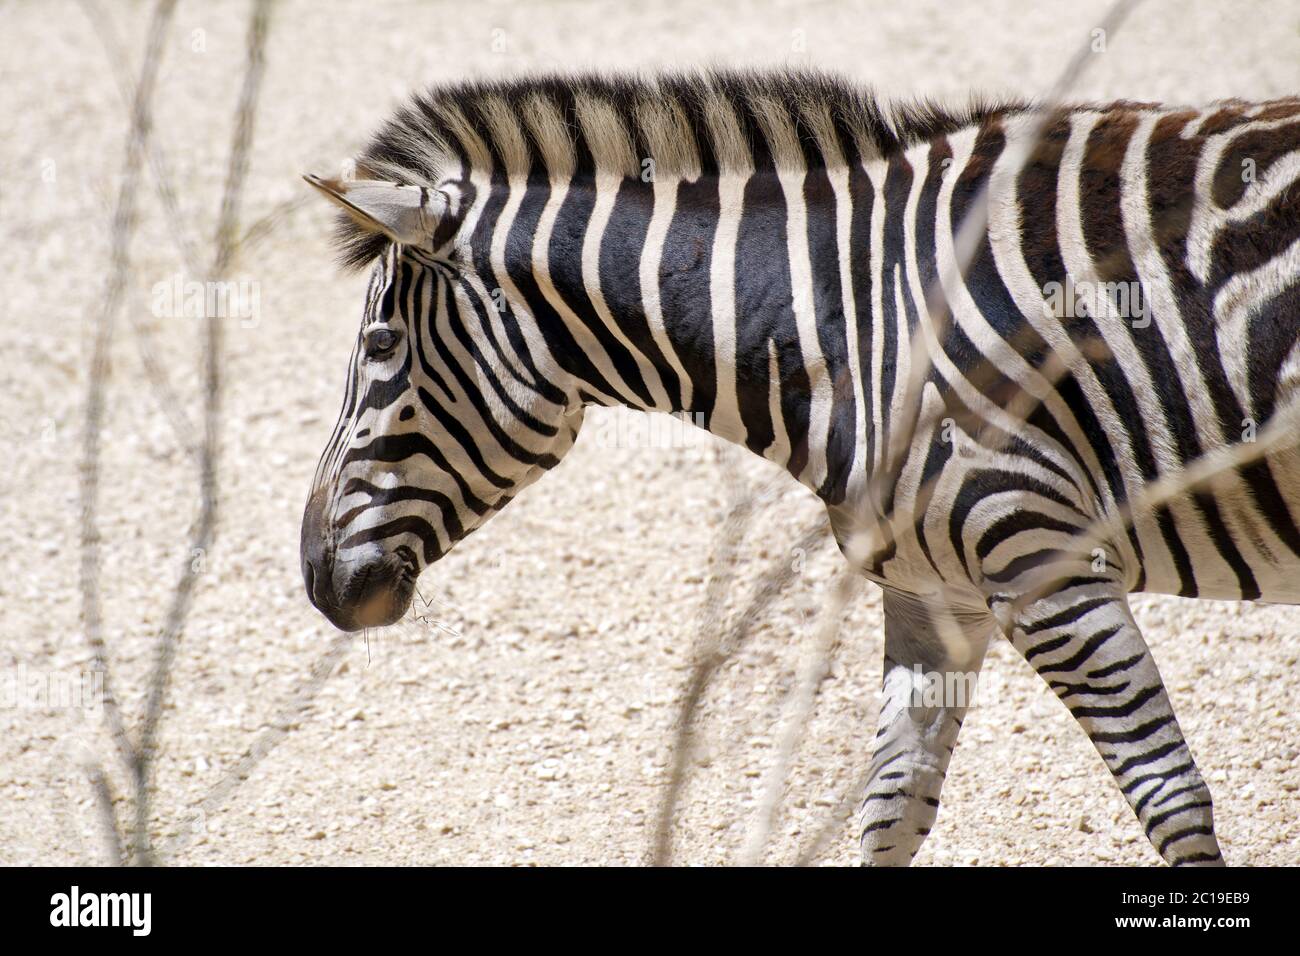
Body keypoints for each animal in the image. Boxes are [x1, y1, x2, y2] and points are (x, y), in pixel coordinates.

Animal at [299, 70, 1300, 865]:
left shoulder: (1043, 556)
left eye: (381, 345)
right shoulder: (937, 591)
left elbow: (1169, 797)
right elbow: (891, 808)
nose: (315, 578)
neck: (847, 319)